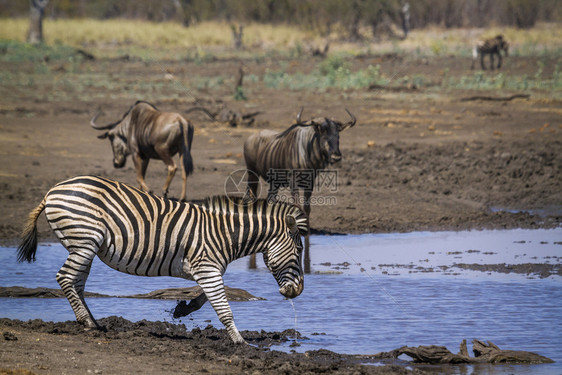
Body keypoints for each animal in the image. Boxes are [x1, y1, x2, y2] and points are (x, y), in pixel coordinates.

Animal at [16, 175, 306, 346]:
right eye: (299, 249)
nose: (298, 292)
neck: (224, 234)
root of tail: (53, 190)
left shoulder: (206, 269)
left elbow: (204, 298)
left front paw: (182, 309)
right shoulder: (207, 267)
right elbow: (223, 308)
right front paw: (240, 342)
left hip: (83, 246)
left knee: (76, 283)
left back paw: (92, 322)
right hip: (84, 241)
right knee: (65, 278)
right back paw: (87, 322)